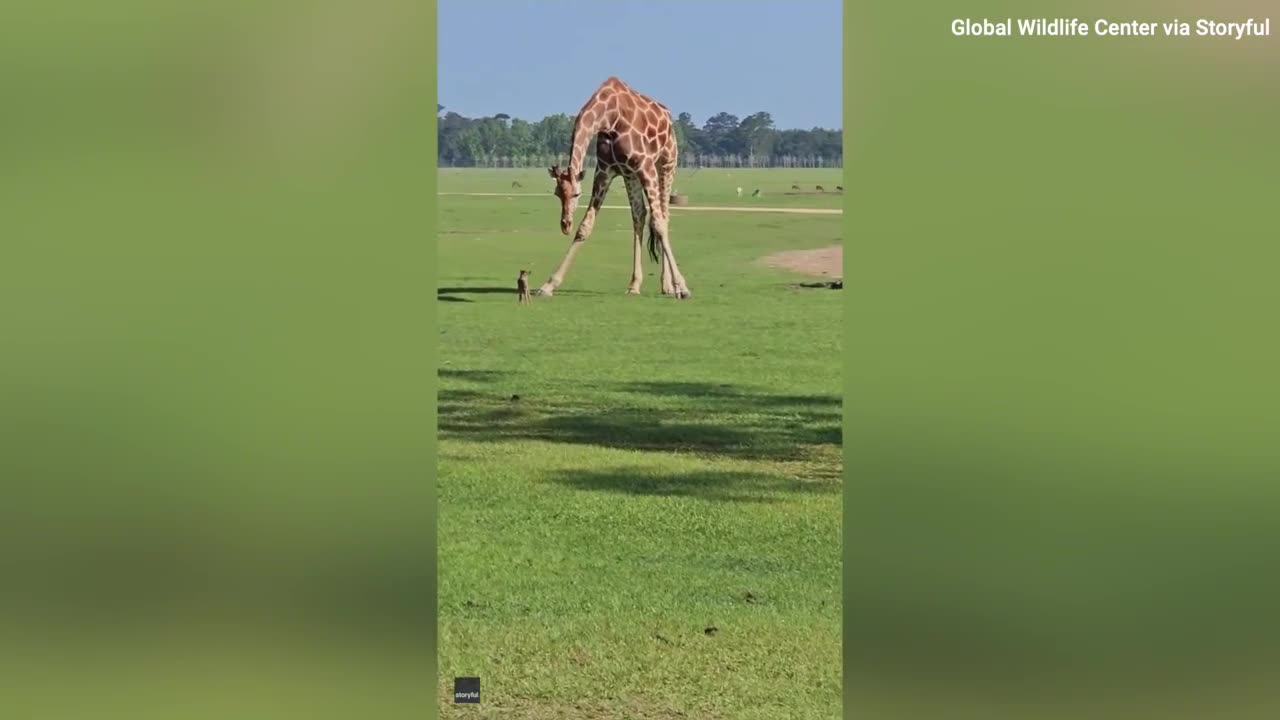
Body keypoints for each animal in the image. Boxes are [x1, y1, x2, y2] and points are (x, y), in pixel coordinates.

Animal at [539, 77, 691, 299]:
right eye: (557, 193)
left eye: (577, 194)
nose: (565, 224)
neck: (608, 117)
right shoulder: (605, 171)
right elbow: (585, 226)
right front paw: (548, 285)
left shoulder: (645, 166)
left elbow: (659, 224)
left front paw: (682, 287)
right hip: (630, 175)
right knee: (639, 216)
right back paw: (634, 285)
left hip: (666, 163)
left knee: (663, 215)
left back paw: (667, 285)